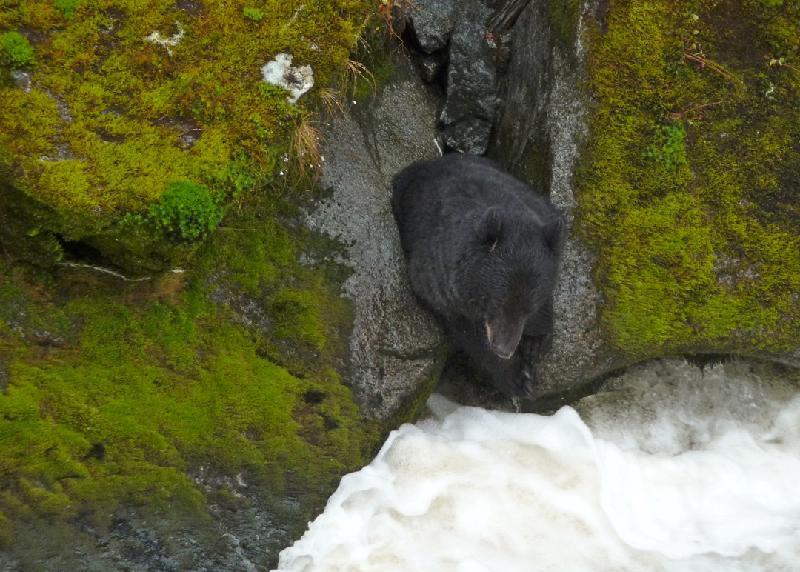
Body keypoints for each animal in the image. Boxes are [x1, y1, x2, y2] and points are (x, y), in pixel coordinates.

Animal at [391, 153, 564, 398]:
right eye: (496, 304)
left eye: (528, 309)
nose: (504, 349)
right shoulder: (441, 286)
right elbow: (470, 335)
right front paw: (517, 378)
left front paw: (536, 341)